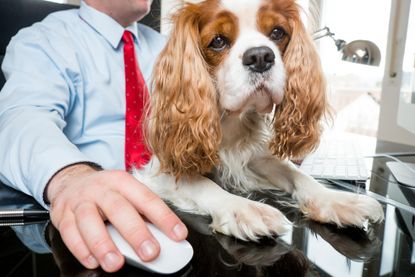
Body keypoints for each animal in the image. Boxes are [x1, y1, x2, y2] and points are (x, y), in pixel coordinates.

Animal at [135, 0, 386, 239]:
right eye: (218, 41)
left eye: (277, 33)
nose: (260, 57)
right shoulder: (159, 170)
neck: (230, 122)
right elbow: (203, 184)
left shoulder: (259, 161)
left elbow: (300, 175)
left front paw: (336, 200)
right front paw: (244, 208)